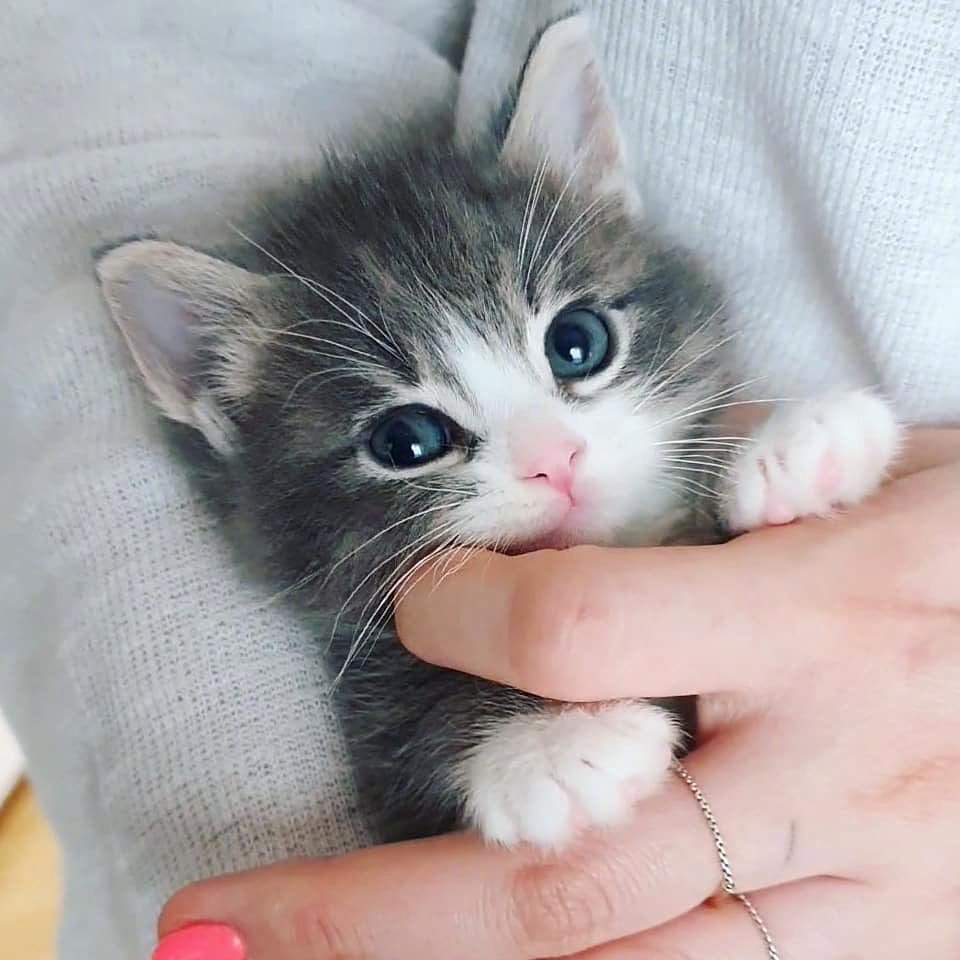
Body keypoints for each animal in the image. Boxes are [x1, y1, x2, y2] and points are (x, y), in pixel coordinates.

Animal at [92, 15, 900, 848]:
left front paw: (790, 445)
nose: (556, 459)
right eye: (406, 443)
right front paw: (549, 746)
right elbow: (411, 724)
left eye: (577, 342)